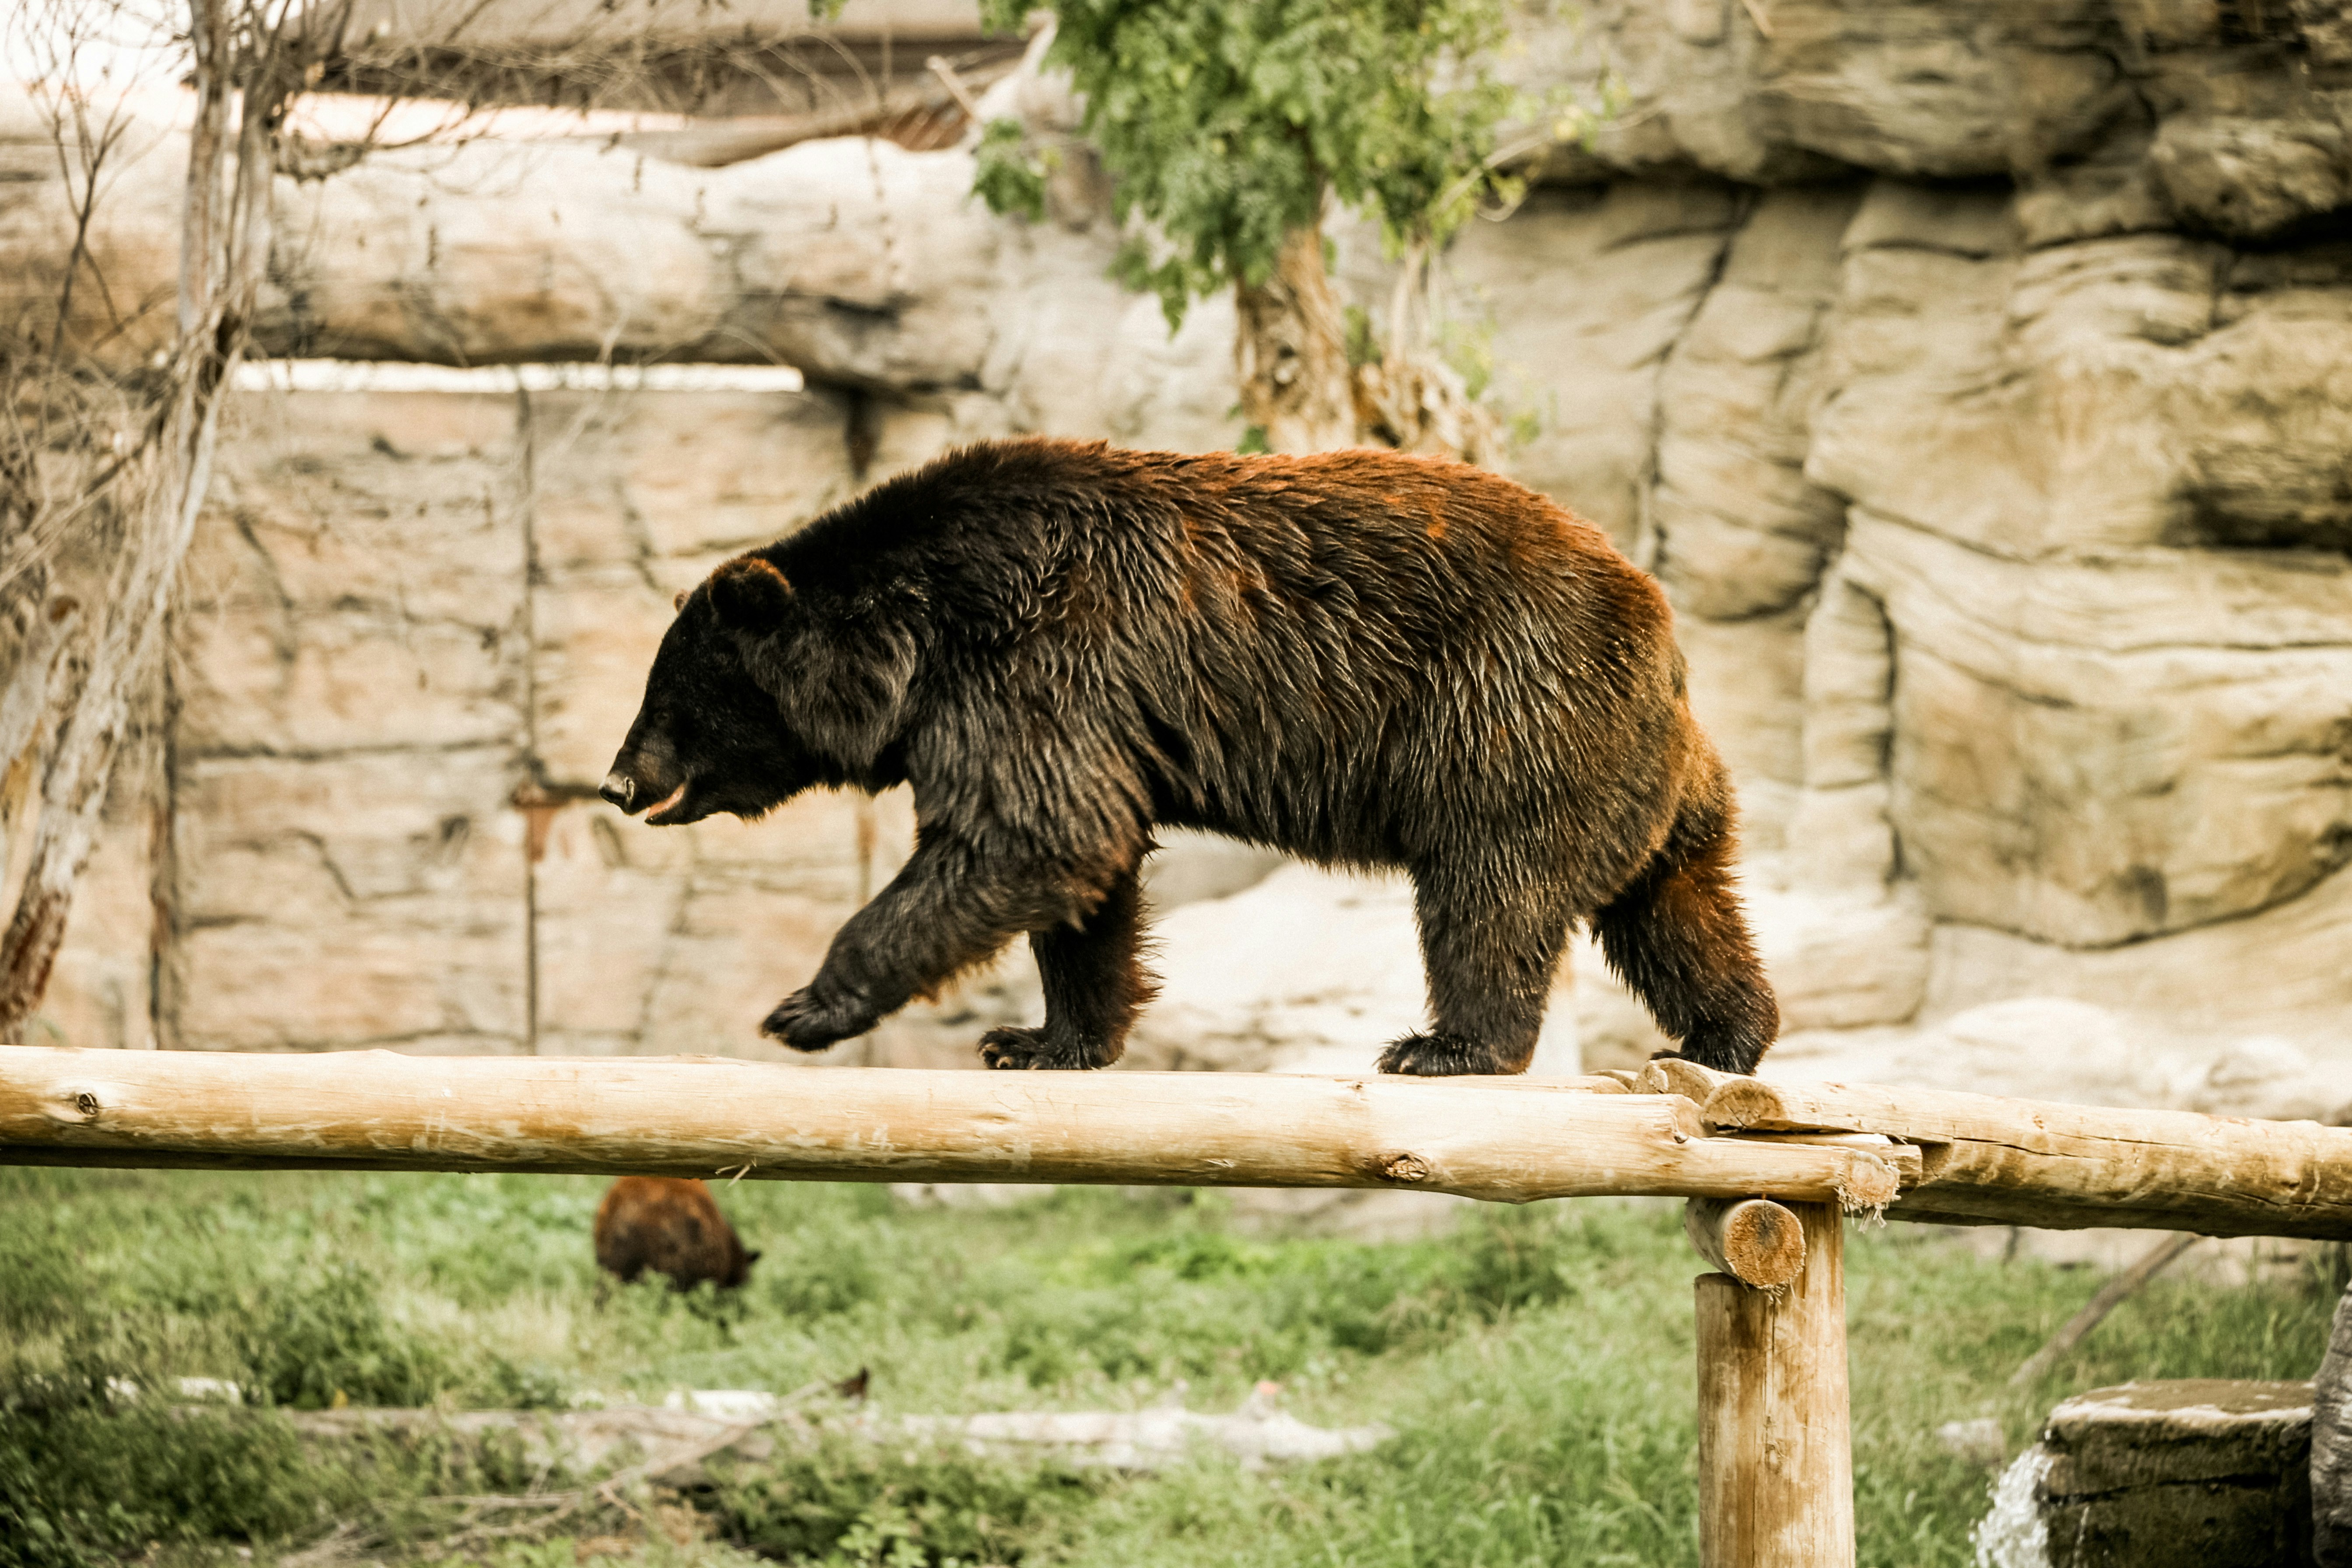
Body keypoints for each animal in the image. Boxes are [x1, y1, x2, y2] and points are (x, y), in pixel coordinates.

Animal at [598, 438, 1778, 1078]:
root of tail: (1661, 632)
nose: (617, 781)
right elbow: (1084, 867)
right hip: (1642, 779)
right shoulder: (1056, 696)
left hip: (1506, 717)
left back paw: (1444, 1045)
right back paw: (1724, 1036)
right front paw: (1042, 1038)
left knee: (1488, 892)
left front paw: (806, 1005)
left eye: (671, 697)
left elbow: (1030, 831)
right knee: (1677, 908)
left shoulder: (1034, 658)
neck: (918, 636)